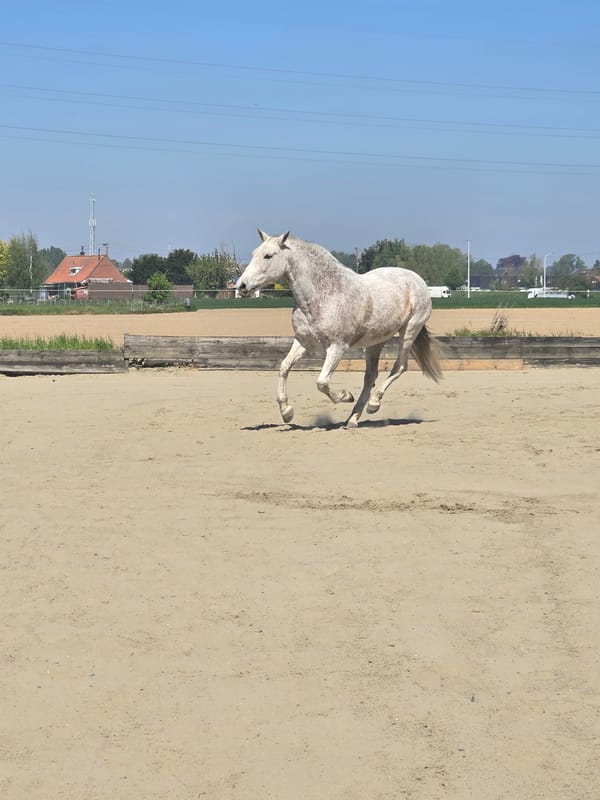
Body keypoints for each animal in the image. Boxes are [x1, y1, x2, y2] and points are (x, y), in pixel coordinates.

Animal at [236, 229, 442, 428]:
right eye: (254, 253)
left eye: (268, 256)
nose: (241, 286)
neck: (320, 296)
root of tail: (417, 279)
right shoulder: (304, 342)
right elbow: (284, 367)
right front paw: (287, 412)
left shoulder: (337, 347)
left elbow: (321, 382)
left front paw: (346, 396)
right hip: (376, 342)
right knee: (370, 376)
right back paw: (353, 418)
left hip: (408, 331)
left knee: (399, 366)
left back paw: (373, 404)